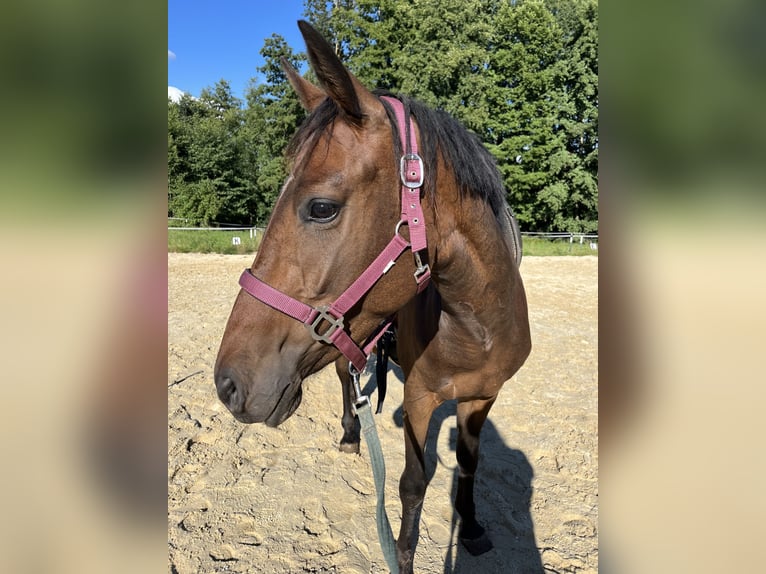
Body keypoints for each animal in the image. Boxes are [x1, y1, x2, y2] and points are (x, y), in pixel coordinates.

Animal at [214, 20, 531, 573]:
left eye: (321, 207)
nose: (226, 384)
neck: (479, 325)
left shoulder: (483, 396)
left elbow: (469, 465)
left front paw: (471, 527)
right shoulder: (421, 397)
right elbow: (412, 483)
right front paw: (402, 557)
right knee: (347, 378)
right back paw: (348, 435)